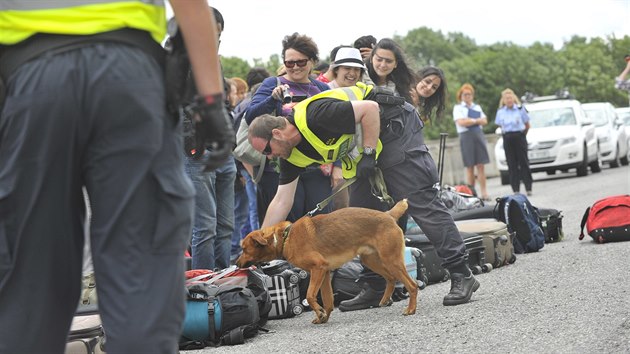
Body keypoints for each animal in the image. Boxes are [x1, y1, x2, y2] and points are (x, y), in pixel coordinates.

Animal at [237, 199, 420, 324]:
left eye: (244, 249)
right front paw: (323, 317)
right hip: (371, 260)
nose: (237, 264)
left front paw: (319, 312)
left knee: (412, 285)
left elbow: (310, 296)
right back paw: (384, 299)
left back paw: (411, 309)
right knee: (391, 278)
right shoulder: (324, 273)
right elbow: (328, 301)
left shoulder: (318, 268)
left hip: (391, 260)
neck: (285, 238)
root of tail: (388, 215)